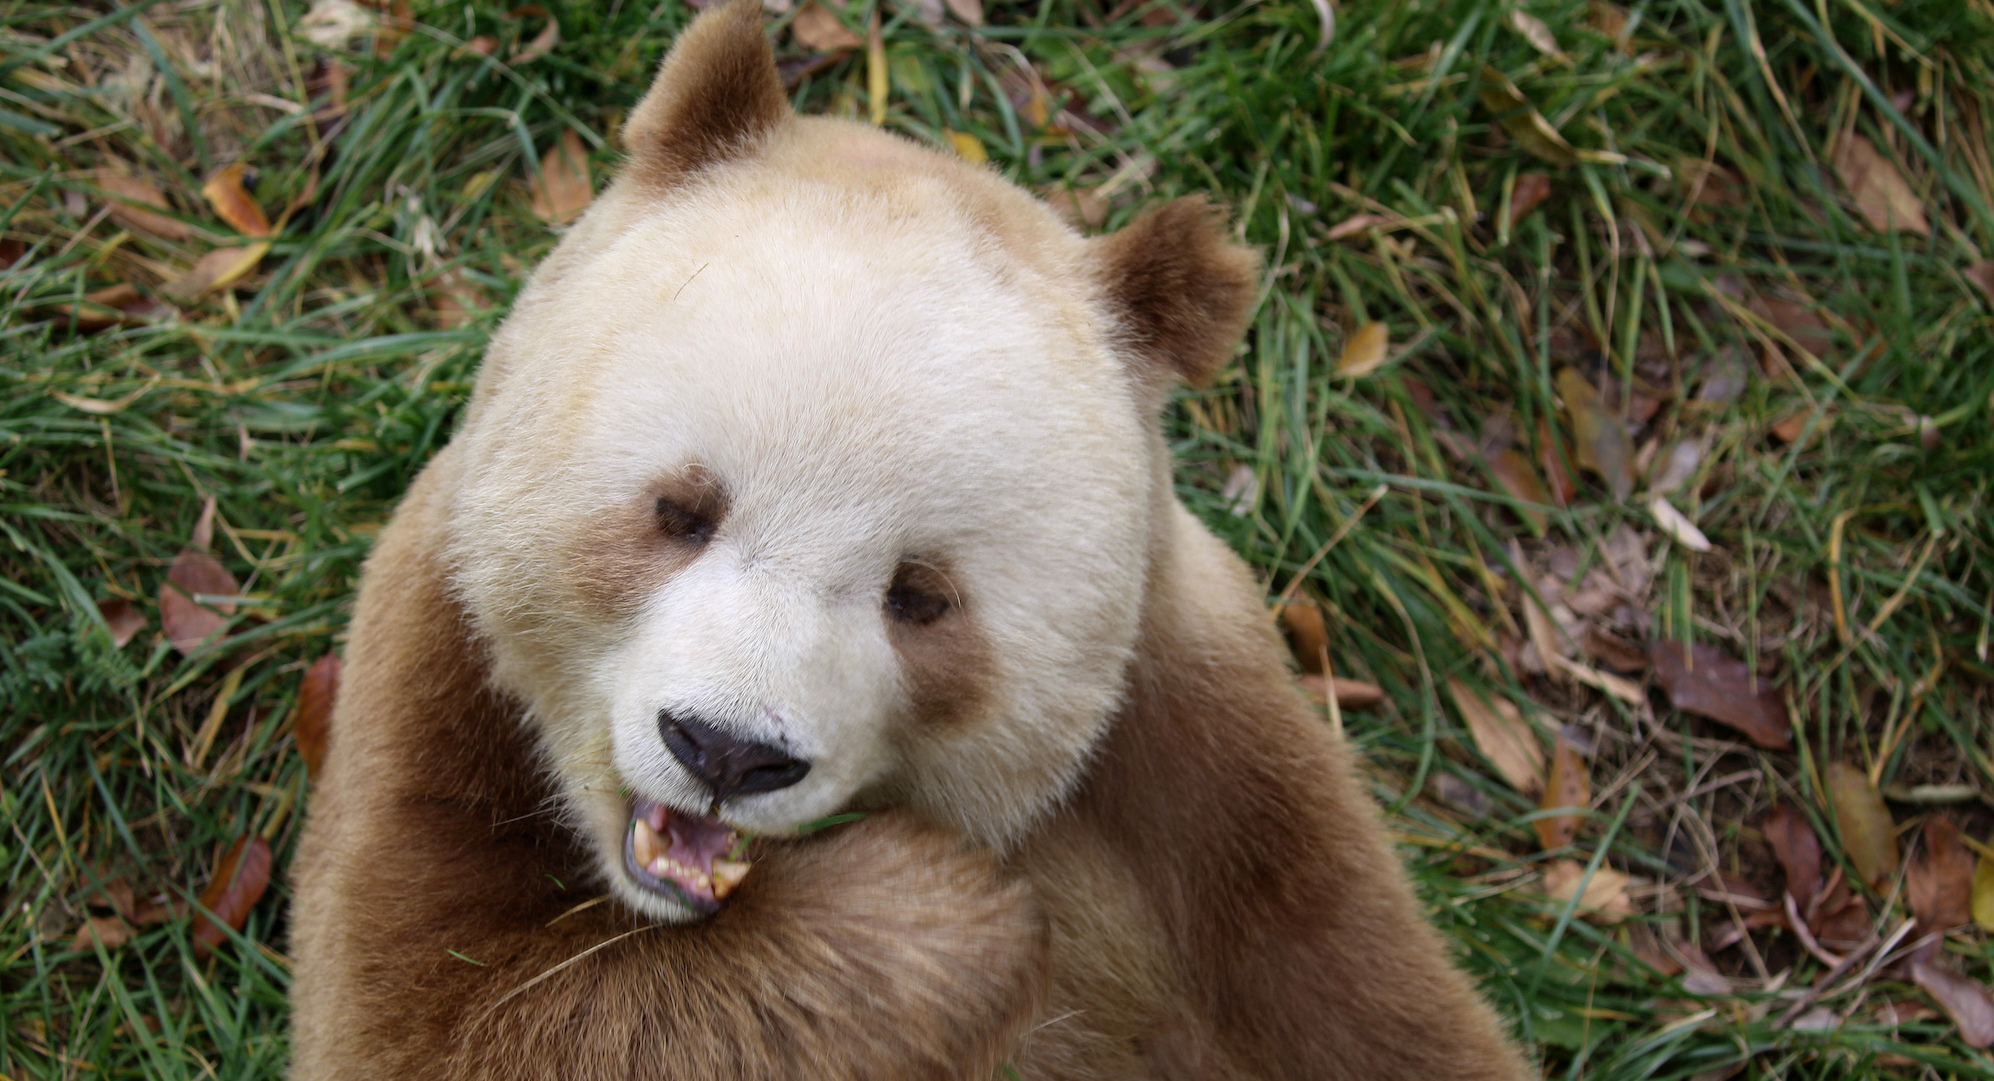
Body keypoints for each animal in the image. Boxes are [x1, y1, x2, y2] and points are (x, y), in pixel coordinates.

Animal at [286, 3, 1533, 1078]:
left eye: (919, 595)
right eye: (682, 511)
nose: (725, 752)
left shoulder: (1210, 761)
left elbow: (1364, 1004)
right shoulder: (432, 671)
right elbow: (438, 1013)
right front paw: (938, 916)